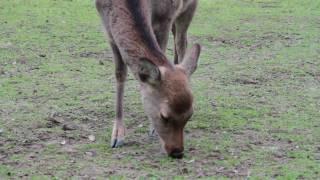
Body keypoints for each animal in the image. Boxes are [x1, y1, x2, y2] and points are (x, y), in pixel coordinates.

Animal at [95, 0, 200, 158]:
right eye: (164, 116)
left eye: (190, 115)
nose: (177, 152)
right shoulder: (108, 29)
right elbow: (120, 73)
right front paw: (117, 135)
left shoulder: (165, 18)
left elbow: (162, 53)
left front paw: (152, 129)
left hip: (189, 8)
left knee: (181, 42)